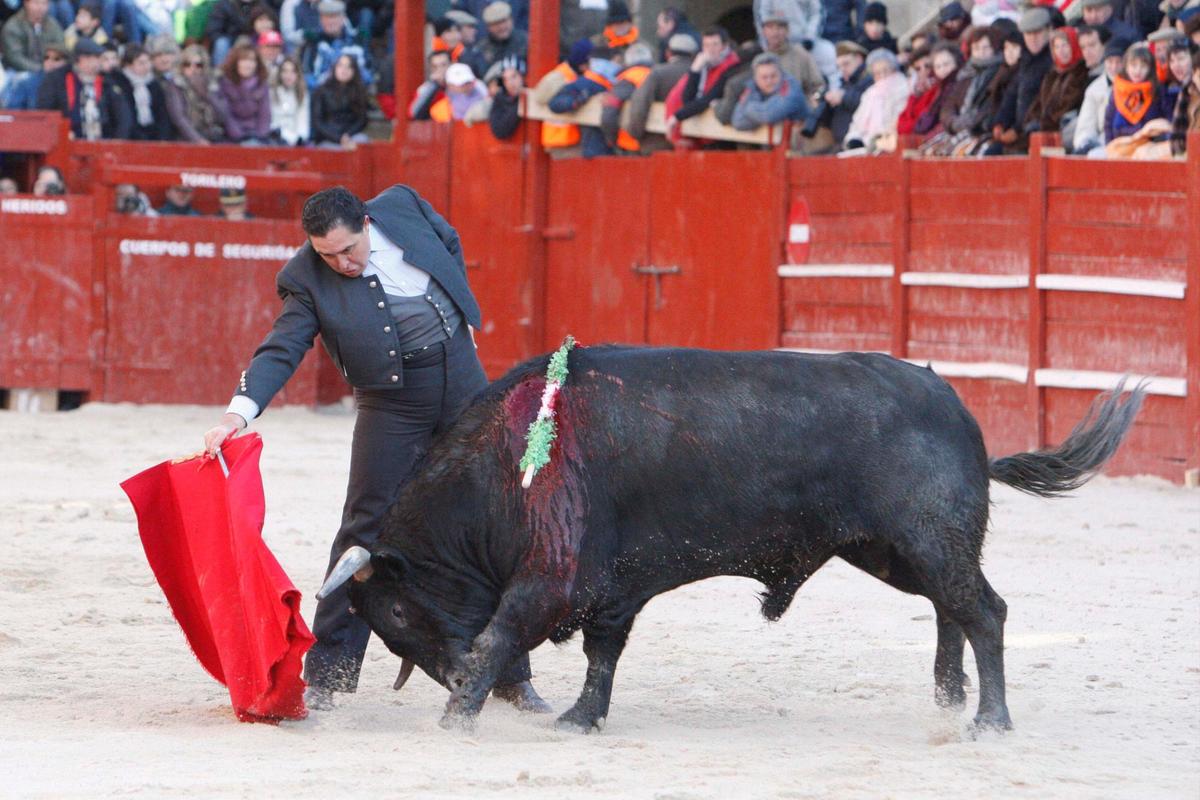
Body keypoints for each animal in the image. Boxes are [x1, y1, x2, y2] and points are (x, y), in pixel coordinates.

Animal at [319, 347, 1142, 734]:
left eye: (396, 612)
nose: (454, 678)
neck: (510, 461)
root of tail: (954, 402)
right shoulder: (614, 586)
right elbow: (601, 655)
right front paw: (581, 719)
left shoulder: (552, 576)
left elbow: (501, 635)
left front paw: (457, 718)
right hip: (893, 550)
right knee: (953, 608)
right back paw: (948, 696)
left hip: (926, 538)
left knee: (985, 612)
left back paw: (987, 720)